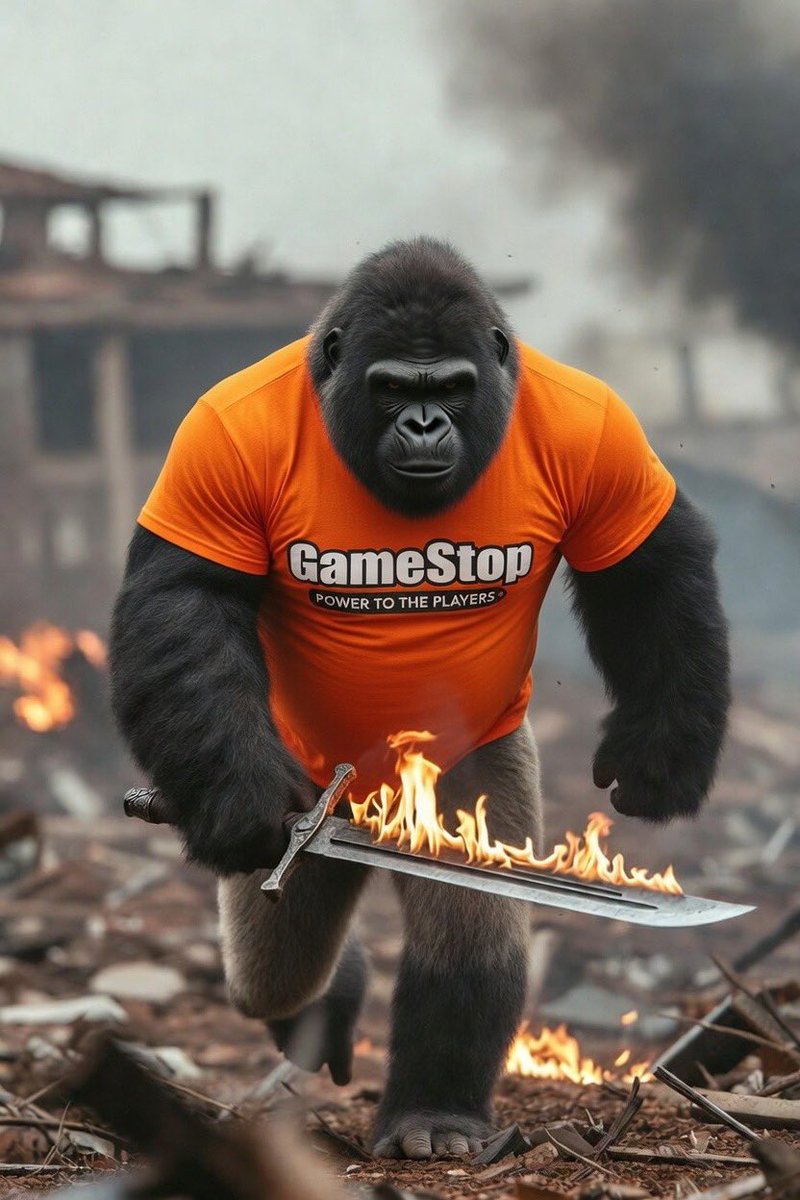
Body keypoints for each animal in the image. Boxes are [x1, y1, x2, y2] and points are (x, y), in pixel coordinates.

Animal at [110, 237, 730, 1159]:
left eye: (452, 388)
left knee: (456, 915)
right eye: (395, 388)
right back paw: (330, 997)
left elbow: (646, 570)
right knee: (270, 977)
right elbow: (184, 597)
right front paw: (239, 802)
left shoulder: (599, 433)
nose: (426, 424)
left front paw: (665, 751)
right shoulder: (215, 443)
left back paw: (432, 1109)